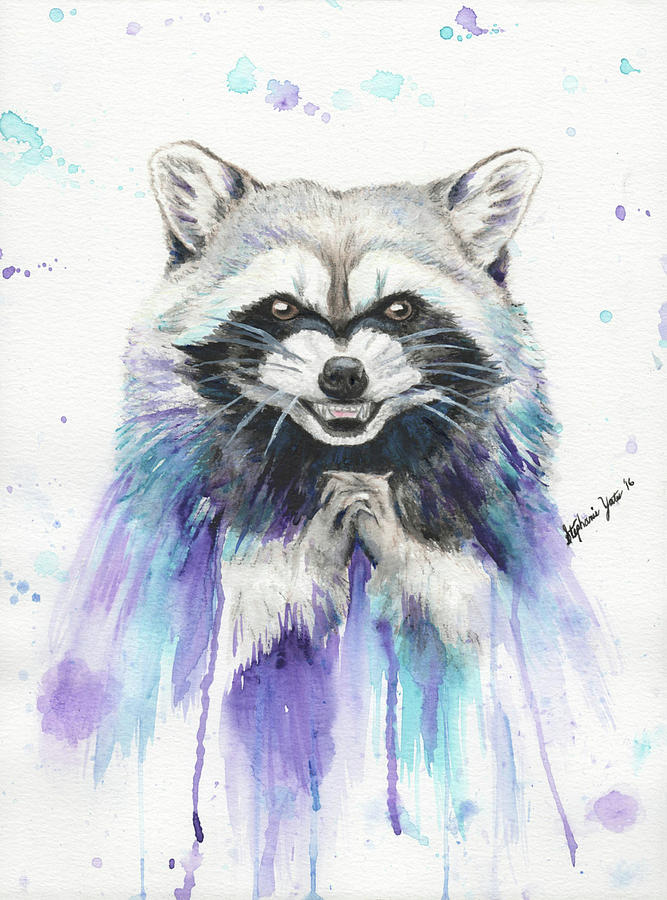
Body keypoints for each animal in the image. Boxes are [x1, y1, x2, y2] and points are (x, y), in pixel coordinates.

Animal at [41, 142, 607, 897]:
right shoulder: (236, 549)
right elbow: (255, 680)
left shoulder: (463, 547)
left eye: (399, 308)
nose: (343, 375)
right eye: (282, 308)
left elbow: (463, 683)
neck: (344, 456)